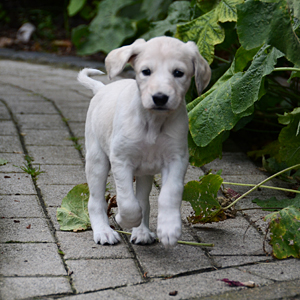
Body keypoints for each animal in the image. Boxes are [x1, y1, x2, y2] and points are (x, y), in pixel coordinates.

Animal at [78, 35, 211, 246]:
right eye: (146, 71)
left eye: (178, 73)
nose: (160, 97)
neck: (153, 122)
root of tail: (102, 88)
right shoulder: (121, 159)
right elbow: (128, 201)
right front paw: (123, 219)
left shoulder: (177, 159)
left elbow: (169, 194)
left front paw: (169, 228)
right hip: (97, 160)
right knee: (96, 200)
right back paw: (104, 231)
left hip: (145, 173)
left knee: (144, 201)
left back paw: (141, 232)